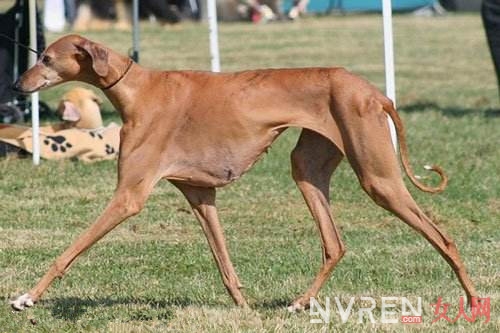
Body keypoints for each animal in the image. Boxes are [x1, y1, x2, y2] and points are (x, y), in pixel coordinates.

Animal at [8, 34, 476, 312]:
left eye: (46, 57)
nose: (16, 86)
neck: (138, 89)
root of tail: (374, 91)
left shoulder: (129, 197)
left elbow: (68, 251)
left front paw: (28, 296)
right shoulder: (200, 195)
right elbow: (224, 263)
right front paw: (245, 310)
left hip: (379, 179)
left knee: (444, 238)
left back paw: (472, 300)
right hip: (307, 169)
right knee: (335, 245)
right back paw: (301, 302)